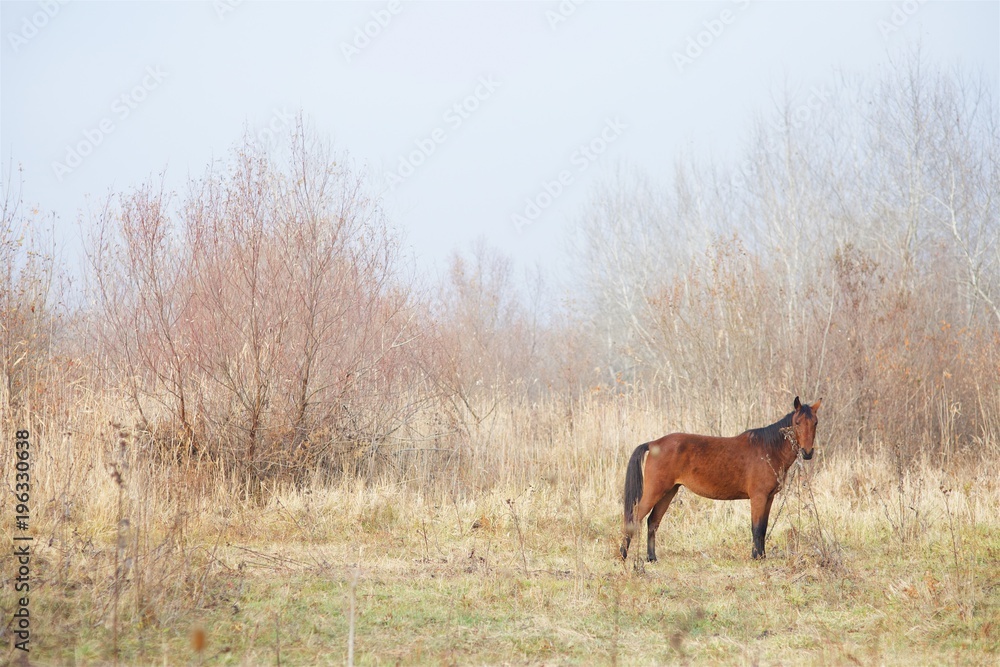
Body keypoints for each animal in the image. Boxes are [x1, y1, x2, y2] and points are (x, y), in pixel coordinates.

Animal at [620, 397, 821, 562]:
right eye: (797, 422)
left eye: (815, 423)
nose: (807, 452)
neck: (768, 450)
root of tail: (654, 443)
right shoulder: (758, 497)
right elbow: (756, 528)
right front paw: (756, 558)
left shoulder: (769, 498)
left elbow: (763, 528)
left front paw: (762, 556)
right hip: (655, 491)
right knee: (634, 518)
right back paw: (623, 554)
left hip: (668, 492)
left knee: (653, 522)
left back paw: (651, 558)